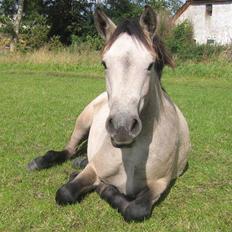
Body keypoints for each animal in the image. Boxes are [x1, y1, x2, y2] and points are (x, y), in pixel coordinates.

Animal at [27, 5, 190, 221]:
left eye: (150, 64)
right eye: (104, 63)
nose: (122, 128)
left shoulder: (160, 183)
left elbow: (135, 210)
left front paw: (105, 189)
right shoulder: (93, 169)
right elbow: (65, 193)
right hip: (82, 122)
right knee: (68, 149)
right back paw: (40, 162)